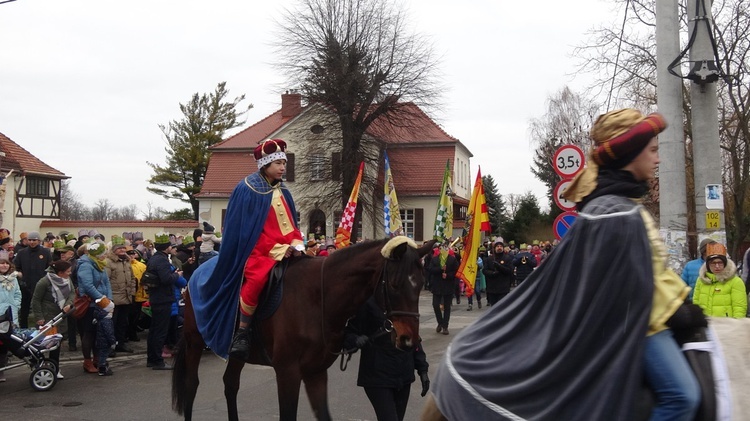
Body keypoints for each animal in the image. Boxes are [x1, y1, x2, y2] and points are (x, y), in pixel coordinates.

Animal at [171, 238, 434, 418]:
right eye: (394, 284)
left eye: (421, 283)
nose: (408, 339)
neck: (317, 297)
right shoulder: (287, 372)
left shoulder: (315, 372)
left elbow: (323, 414)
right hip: (194, 341)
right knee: (191, 385)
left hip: (235, 352)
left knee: (230, 384)